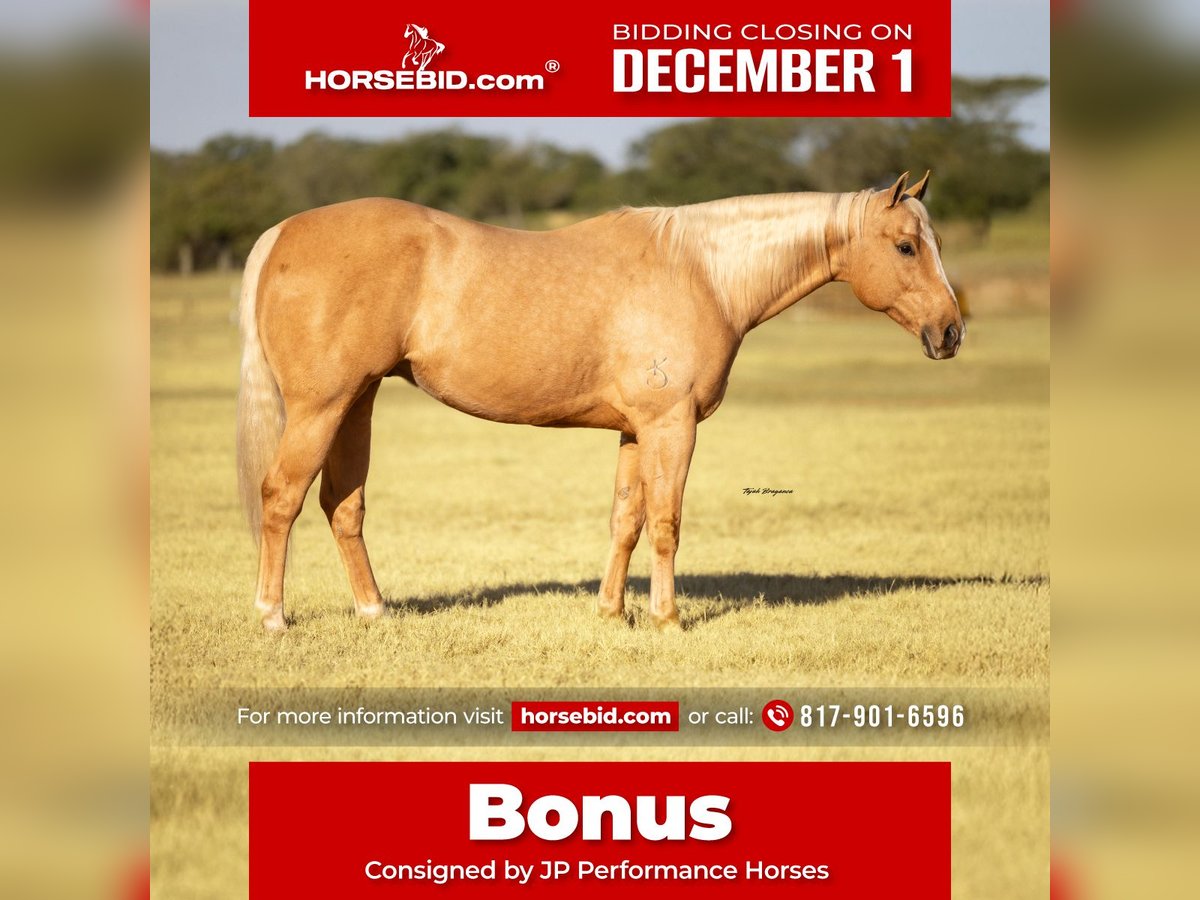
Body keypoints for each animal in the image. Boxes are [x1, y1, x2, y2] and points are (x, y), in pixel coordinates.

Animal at [236, 171, 963, 632]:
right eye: (906, 246)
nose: (951, 332)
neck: (703, 272)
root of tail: (281, 234)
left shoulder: (636, 431)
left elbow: (626, 521)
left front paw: (612, 612)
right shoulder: (672, 426)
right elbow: (667, 522)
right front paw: (668, 619)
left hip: (355, 403)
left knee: (342, 505)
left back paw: (374, 611)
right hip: (320, 407)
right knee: (281, 498)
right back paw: (272, 617)